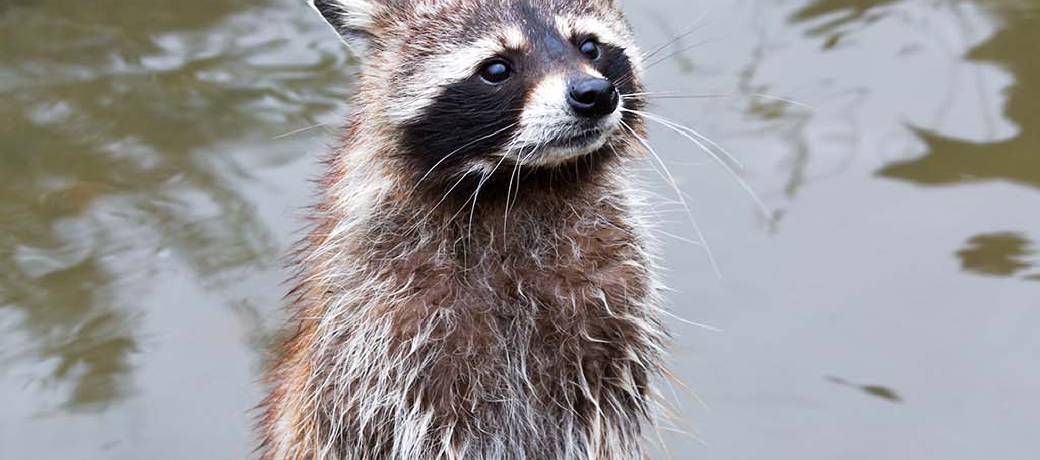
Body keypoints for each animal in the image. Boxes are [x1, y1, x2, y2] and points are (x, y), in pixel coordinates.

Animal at [260, 1, 668, 459]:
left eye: (589, 46)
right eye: (496, 68)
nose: (595, 94)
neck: (521, 187)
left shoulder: (611, 299)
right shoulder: (384, 333)